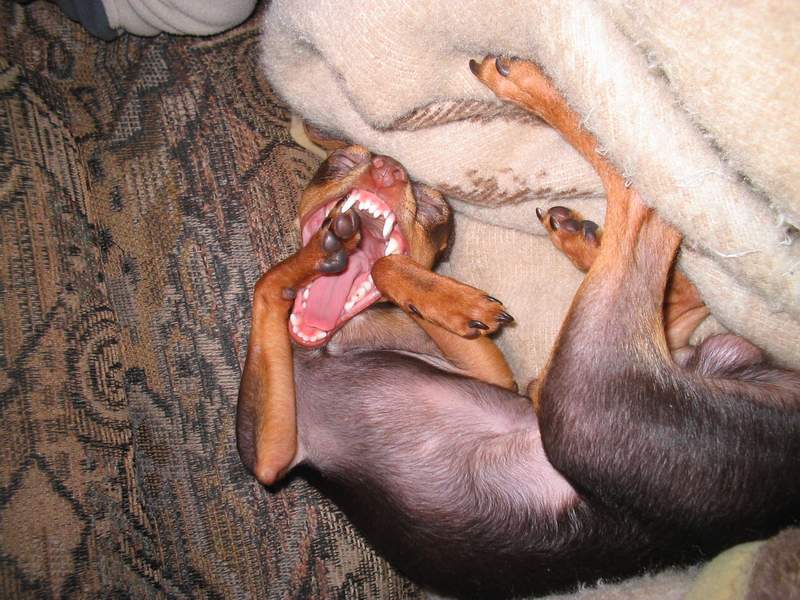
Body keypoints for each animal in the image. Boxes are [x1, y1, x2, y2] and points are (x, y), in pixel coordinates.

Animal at [236, 57, 800, 599]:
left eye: (435, 210)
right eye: (339, 164)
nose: (388, 168)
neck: (331, 341)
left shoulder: (274, 457)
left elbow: (367, 268)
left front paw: (436, 292)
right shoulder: (272, 454)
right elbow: (273, 283)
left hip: (585, 403)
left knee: (641, 189)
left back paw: (532, 88)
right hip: (587, 383)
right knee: (663, 273)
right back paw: (581, 235)